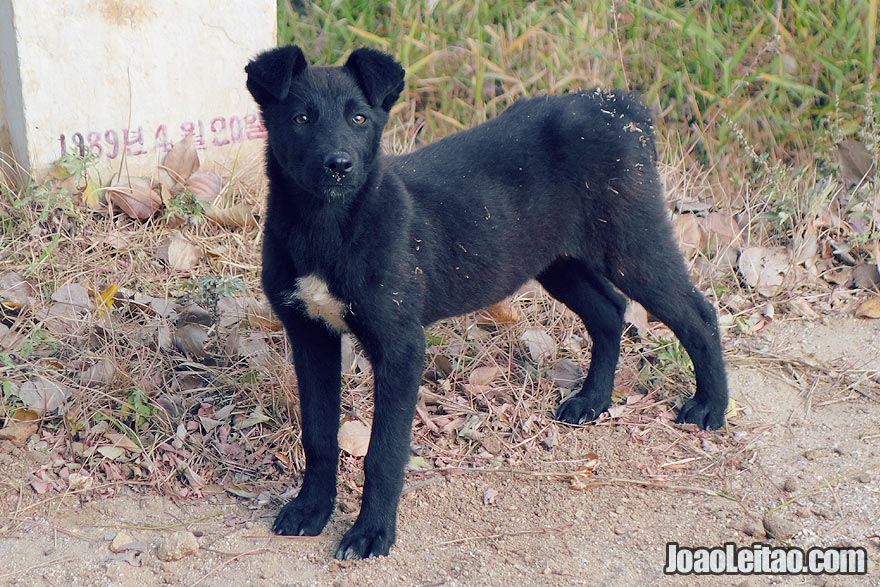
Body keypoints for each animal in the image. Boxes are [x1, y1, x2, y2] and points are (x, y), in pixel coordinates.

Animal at [244, 43, 724, 560]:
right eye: (301, 118)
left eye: (359, 118)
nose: (338, 164)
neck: (328, 226)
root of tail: (619, 105)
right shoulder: (309, 334)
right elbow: (317, 435)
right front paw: (311, 510)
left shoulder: (400, 346)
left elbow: (383, 453)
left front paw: (372, 532)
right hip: (555, 259)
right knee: (611, 312)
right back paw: (592, 401)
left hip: (631, 245)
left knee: (698, 314)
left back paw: (711, 407)